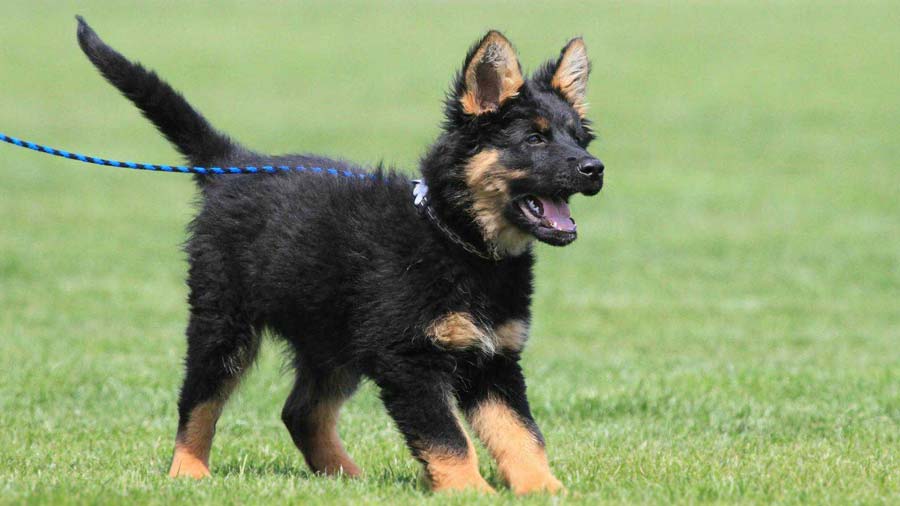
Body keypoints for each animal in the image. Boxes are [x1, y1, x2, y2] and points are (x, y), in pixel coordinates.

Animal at [75, 15, 604, 494]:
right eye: (533, 138)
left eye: (579, 138)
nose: (595, 168)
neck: (460, 243)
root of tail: (231, 165)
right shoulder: (409, 361)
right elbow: (448, 437)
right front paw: (468, 491)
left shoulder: (494, 360)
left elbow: (520, 435)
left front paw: (544, 488)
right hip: (223, 324)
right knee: (198, 402)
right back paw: (189, 471)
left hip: (332, 340)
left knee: (300, 412)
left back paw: (345, 477)